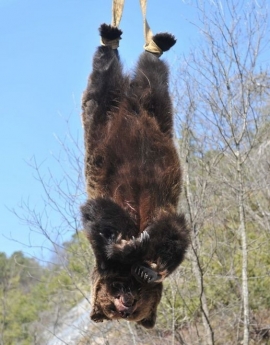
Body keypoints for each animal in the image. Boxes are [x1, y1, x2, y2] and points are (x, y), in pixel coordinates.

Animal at [80, 23, 190, 328]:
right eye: (113, 307)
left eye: (135, 306)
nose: (126, 303)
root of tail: (129, 100)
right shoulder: (104, 214)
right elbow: (101, 219)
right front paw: (130, 250)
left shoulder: (164, 214)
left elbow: (174, 237)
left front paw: (148, 268)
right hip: (126, 115)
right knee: (143, 77)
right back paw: (143, 42)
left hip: (136, 113)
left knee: (113, 80)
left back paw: (133, 40)